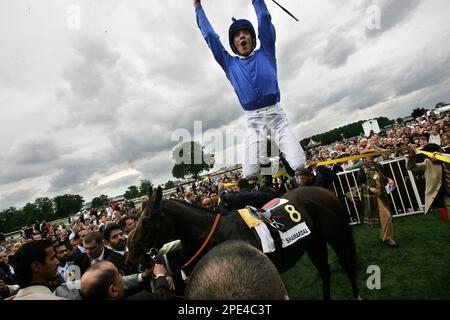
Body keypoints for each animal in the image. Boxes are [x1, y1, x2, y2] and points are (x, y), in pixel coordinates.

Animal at [125, 185, 358, 300]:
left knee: (348, 265)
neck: (219, 234)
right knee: (325, 271)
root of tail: (324, 190)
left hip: (338, 236)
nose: (130, 257)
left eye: (145, 221)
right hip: (313, 243)